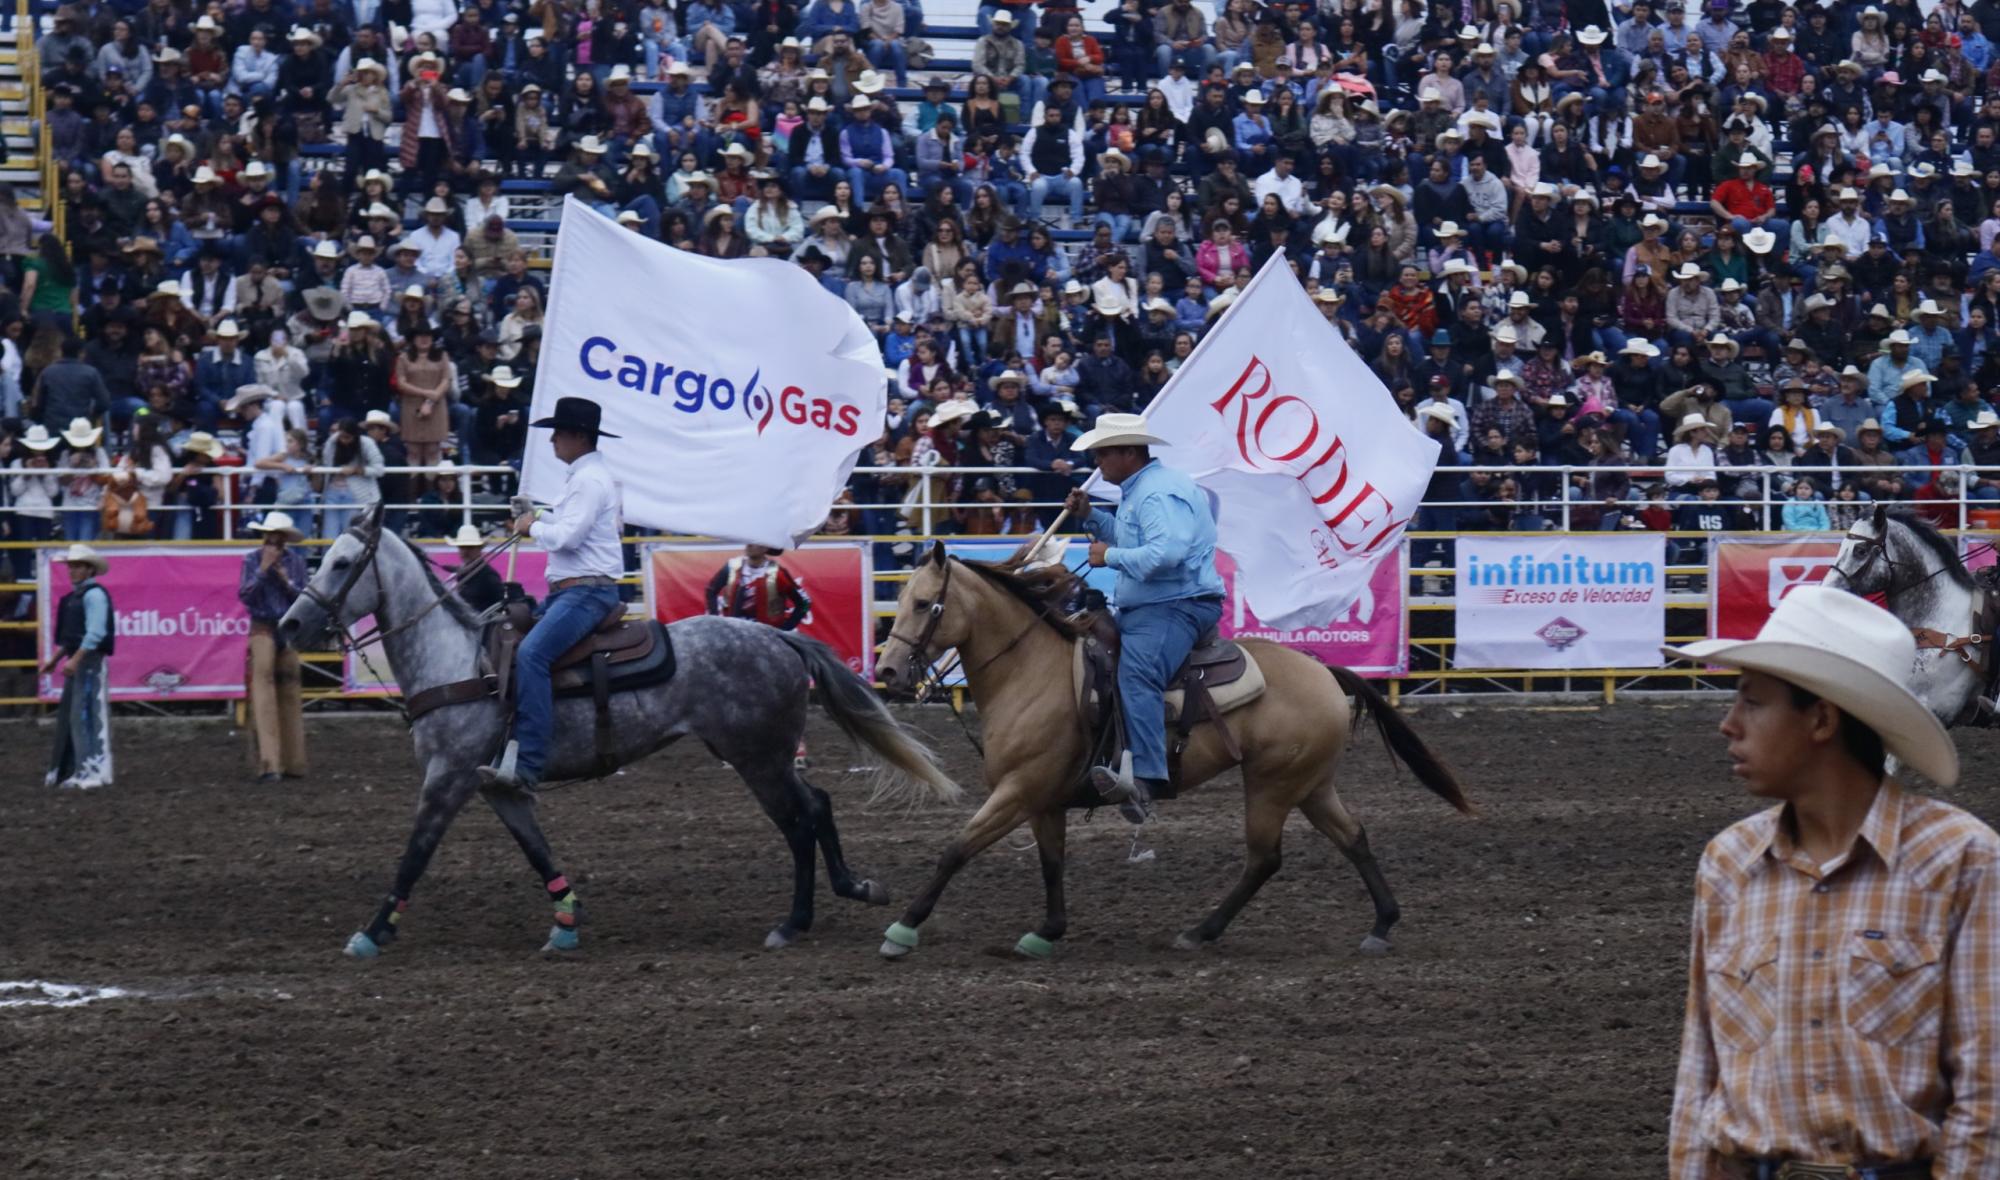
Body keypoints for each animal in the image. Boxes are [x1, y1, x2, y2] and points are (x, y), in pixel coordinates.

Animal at [280, 508, 960, 960]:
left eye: (343, 563)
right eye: (324, 557)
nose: (289, 625)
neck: (457, 659)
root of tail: (779, 638)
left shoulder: (446, 779)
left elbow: (414, 854)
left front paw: (372, 931)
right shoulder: (497, 786)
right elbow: (537, 851)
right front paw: (565, 921)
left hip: (758, 758)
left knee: (801, 819)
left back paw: (796, 920)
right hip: (758, 754)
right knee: (815, 808)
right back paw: (844, 892)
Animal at [876, 544, 1472, 960]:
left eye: (926, 604)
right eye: (899, 601)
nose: (887, 672)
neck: (1032, 671)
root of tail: (1324, 671)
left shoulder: (1019, 789)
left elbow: (957, 849)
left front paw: (903, 929)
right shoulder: (1042, 799)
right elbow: (1051, 864)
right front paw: (1046, 932)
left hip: (1273, 784)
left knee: (1265, 858)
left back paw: (1199, 931)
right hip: (1310, 783)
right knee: (1354, 838)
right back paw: (1381, 925)